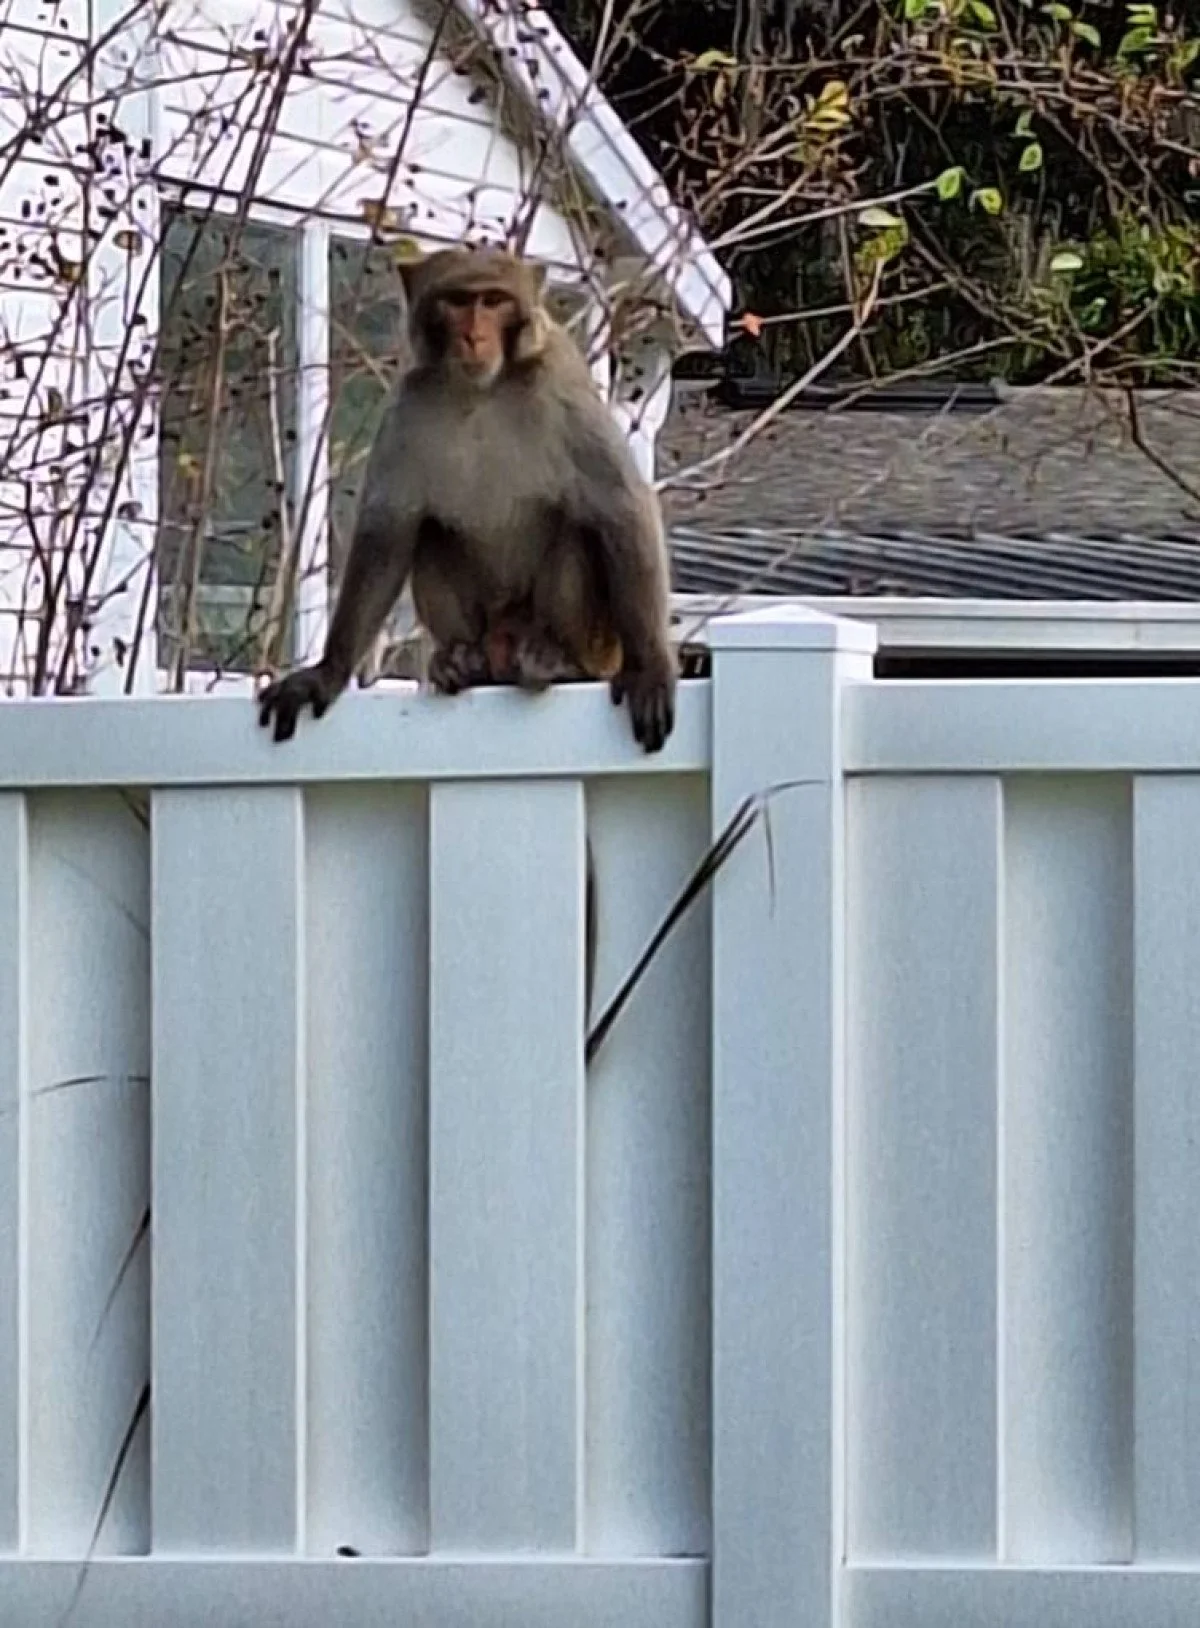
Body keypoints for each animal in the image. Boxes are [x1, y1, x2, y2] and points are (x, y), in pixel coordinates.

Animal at [257, 244, 677, 752]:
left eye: (493, 301)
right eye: (458, 301)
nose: (474, 336)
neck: (483, 388)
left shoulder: (560, 386)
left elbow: (622, 508)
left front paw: (651, 668)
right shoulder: (410, 401)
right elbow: (389, 531)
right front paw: (327, 672)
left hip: (597, 640)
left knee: (575, 530)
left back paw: (557, 658)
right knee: (430, 534)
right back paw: (462, 661)